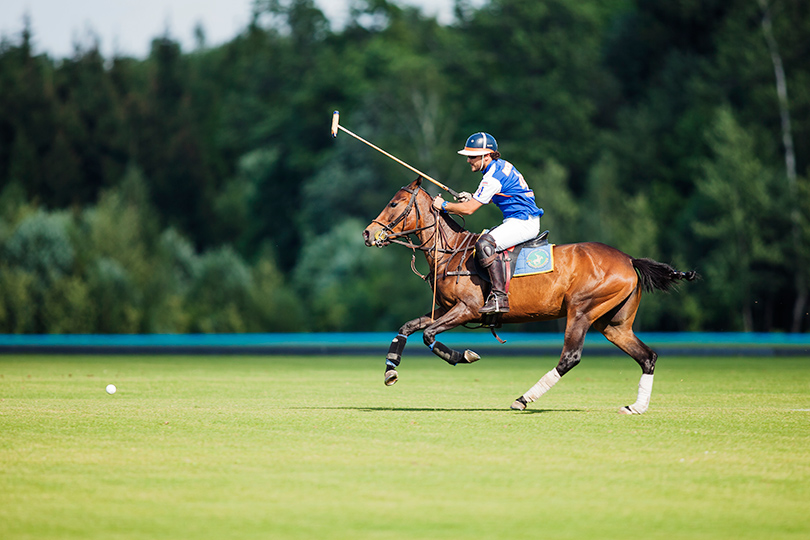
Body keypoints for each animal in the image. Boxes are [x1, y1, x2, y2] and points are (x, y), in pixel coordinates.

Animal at [360, 177, 696, 414]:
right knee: (647, 356)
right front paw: (390, 370)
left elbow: (429, 335)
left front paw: (463, 355)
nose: (367, 233)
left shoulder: (468, 309)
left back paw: (523, 399)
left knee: (570, 357)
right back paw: (636, 407)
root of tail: (628, 259)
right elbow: (407, 327)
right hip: (613, 323)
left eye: (394, 203)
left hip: (582, 310)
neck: (451, 250)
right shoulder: (445, 308)